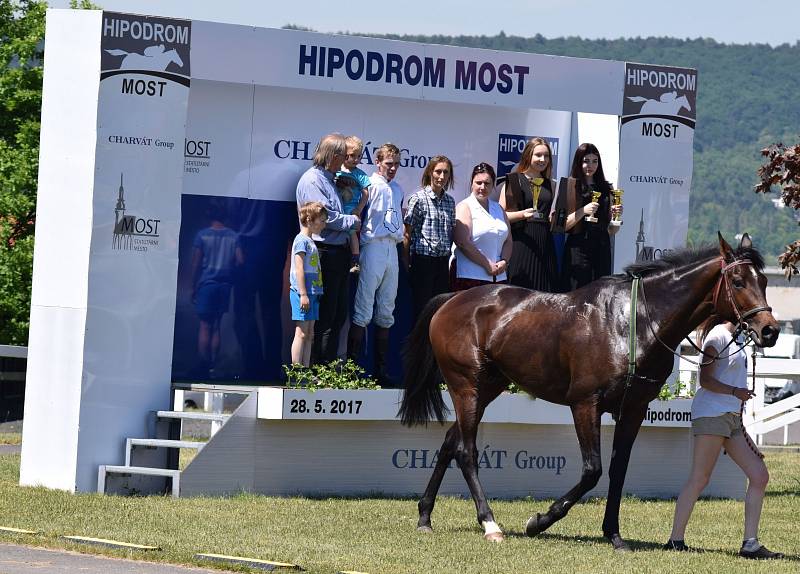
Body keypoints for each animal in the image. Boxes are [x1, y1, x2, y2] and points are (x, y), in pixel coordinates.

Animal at [404, 235, 780, 552]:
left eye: (763, 282)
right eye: (737, 281)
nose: (770, 331)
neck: (633, 324)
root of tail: (453, 299)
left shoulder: (633, 409)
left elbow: (618, 471)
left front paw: (613, 534)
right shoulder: (585, 404)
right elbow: (592, 470)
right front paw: (539, 521)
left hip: (486, 388)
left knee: (449, 444)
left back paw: (425, 516)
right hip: (466, 386)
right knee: (466, 452)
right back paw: (490, 524)